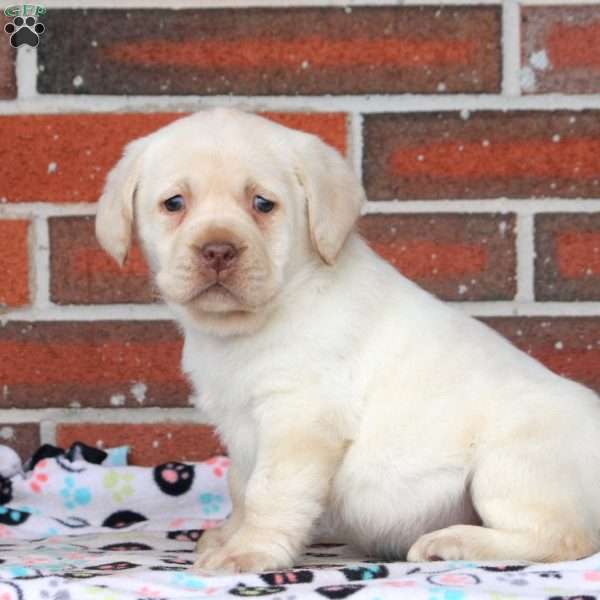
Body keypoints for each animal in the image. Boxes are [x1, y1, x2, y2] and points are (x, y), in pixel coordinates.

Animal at [96, 106, 600, 572]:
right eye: (174, 203)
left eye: (263, 204)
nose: (218, 250)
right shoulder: (242, 430)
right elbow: (239, 487)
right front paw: (228, 535)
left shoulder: (298, 419)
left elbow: (267, 492)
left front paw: (248, 552)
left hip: (510, 463)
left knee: (565, 538)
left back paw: (451, 542)